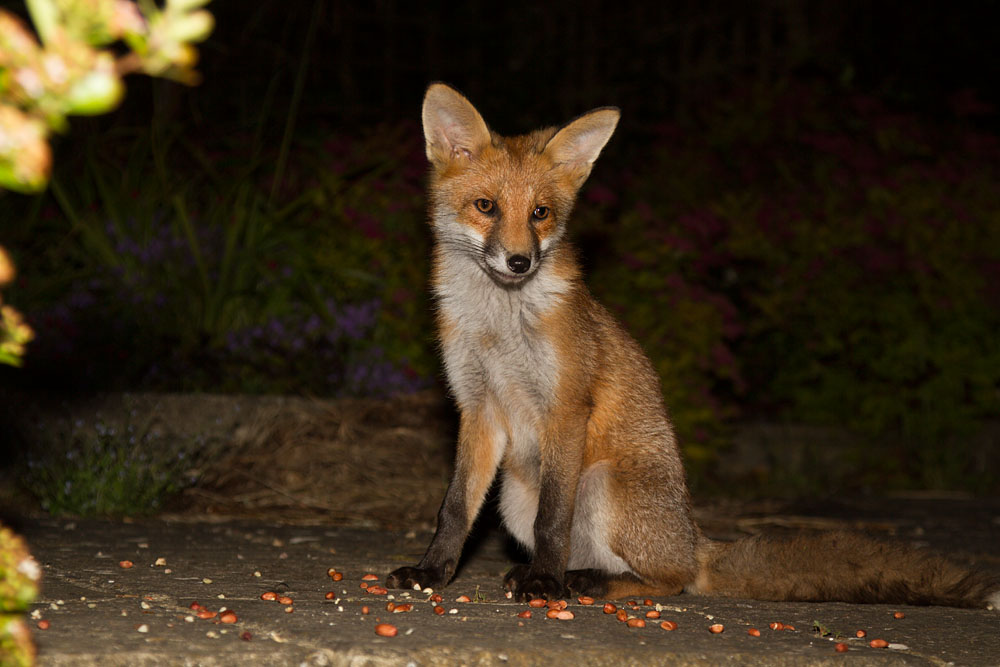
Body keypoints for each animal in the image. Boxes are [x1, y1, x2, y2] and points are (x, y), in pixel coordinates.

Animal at [386, 82, 1000, 609]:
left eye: (540, 214)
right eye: (486, 206)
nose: (519, 262)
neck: (500, 326)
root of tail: (698, 538)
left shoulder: (566, 407)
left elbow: (552, 521)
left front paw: (544, 583)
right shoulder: (478, 406)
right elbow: (455, 510)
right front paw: (433, 572)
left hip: (600, 482)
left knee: (670, 579)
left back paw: (581, 581)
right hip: (515, 497)